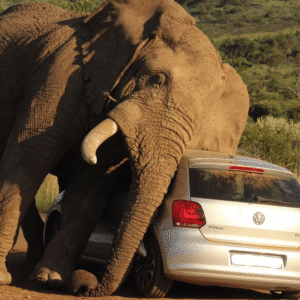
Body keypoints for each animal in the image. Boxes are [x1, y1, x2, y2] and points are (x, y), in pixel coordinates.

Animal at [0, 0, 248, 296]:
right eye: (156, 80)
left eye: (202, 115)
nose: (85, 285)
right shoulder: (59, 77)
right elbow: (29, 160)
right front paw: (5, 278)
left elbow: (90, 187)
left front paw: (52, 279)